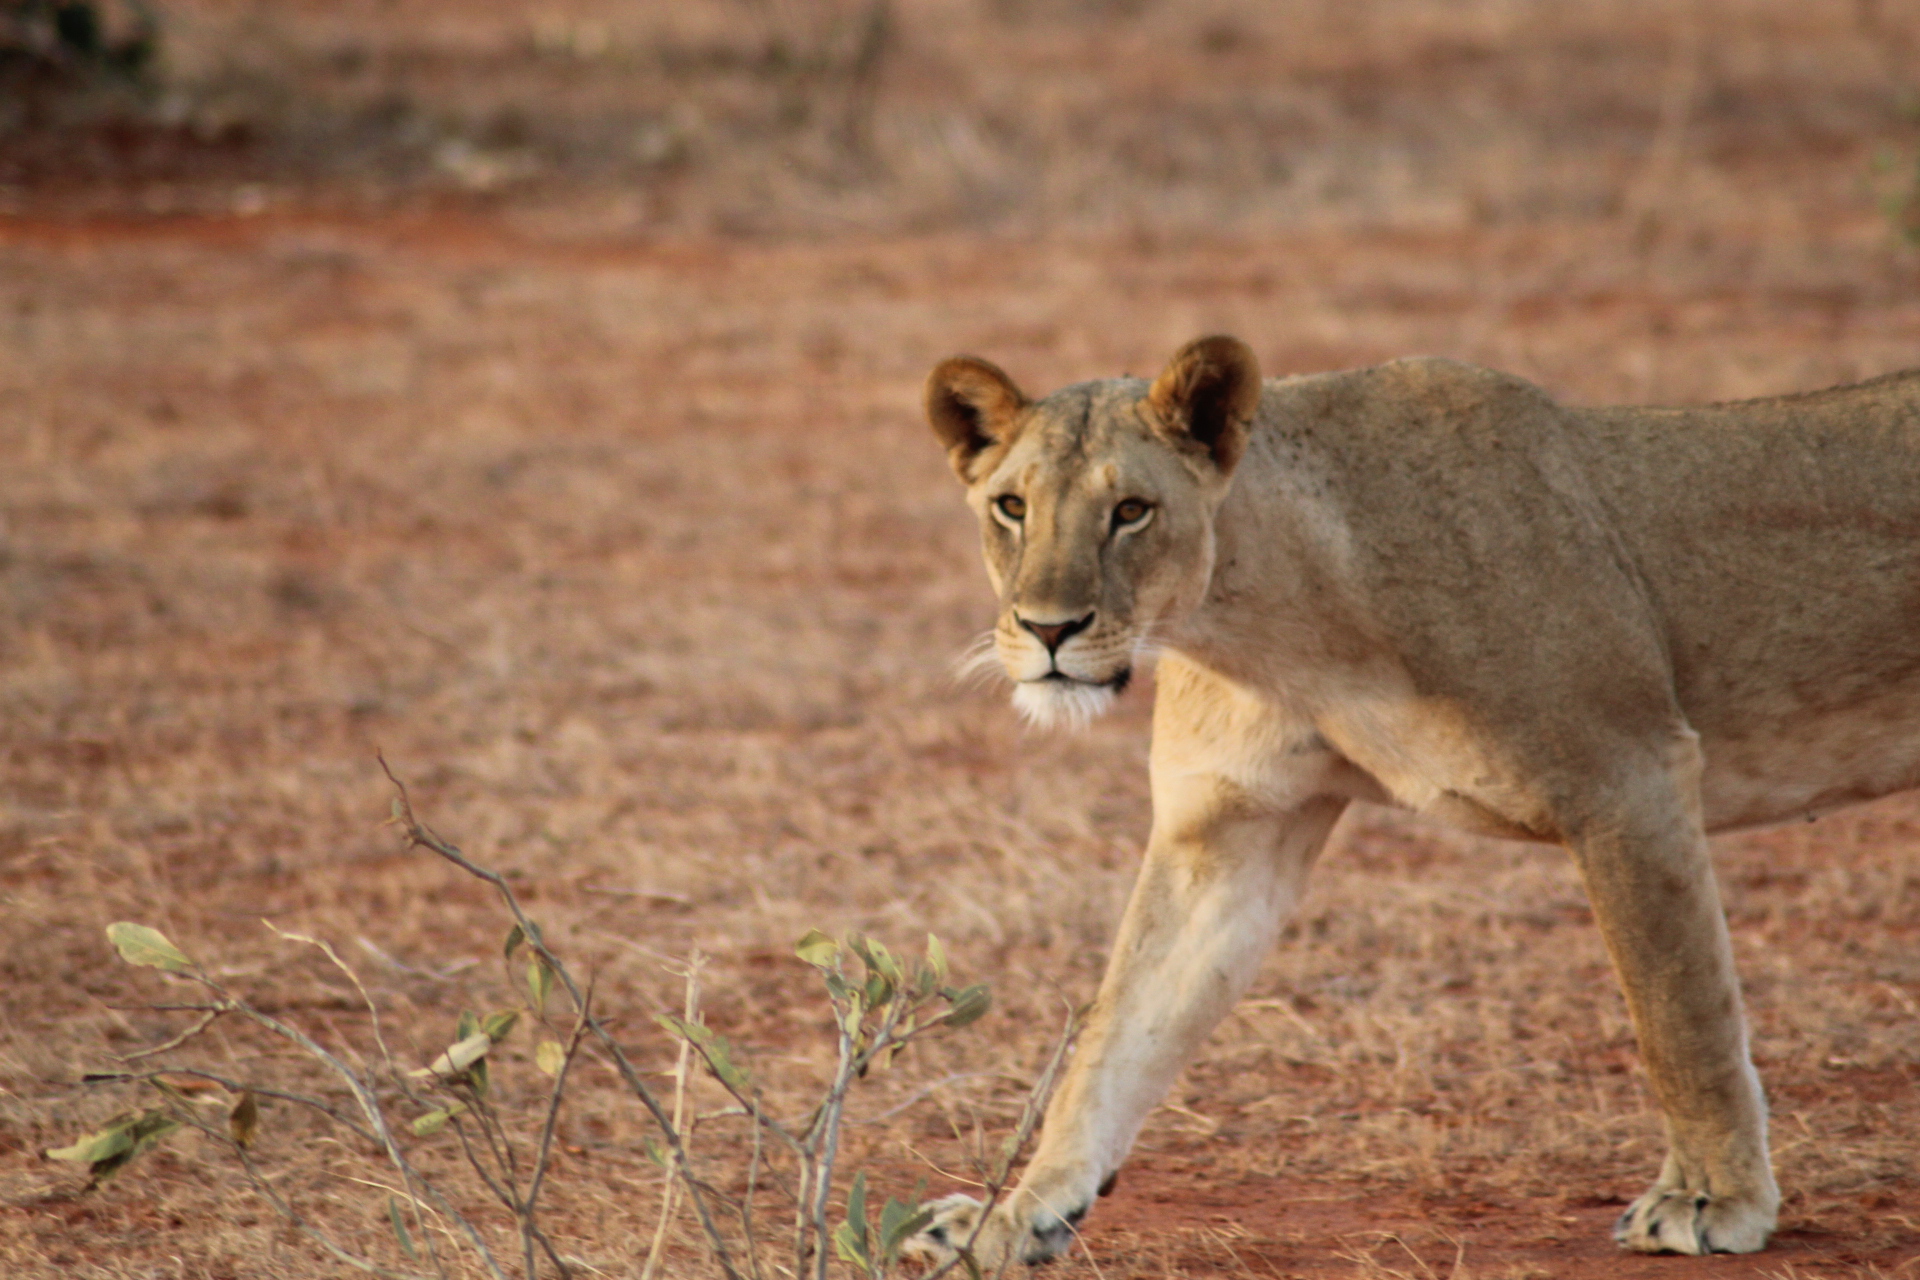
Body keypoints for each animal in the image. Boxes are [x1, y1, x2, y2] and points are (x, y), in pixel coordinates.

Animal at [911, 335, 1920, 1264]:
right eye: (1012, 507)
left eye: (1130, 511)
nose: (1047, 630)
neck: (1276, 622)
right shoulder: (1230, 831)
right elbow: (1119, 1036)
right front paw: (1010, 1218)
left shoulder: (1630, 772)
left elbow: (1680, 1010)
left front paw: (1715, 1201)